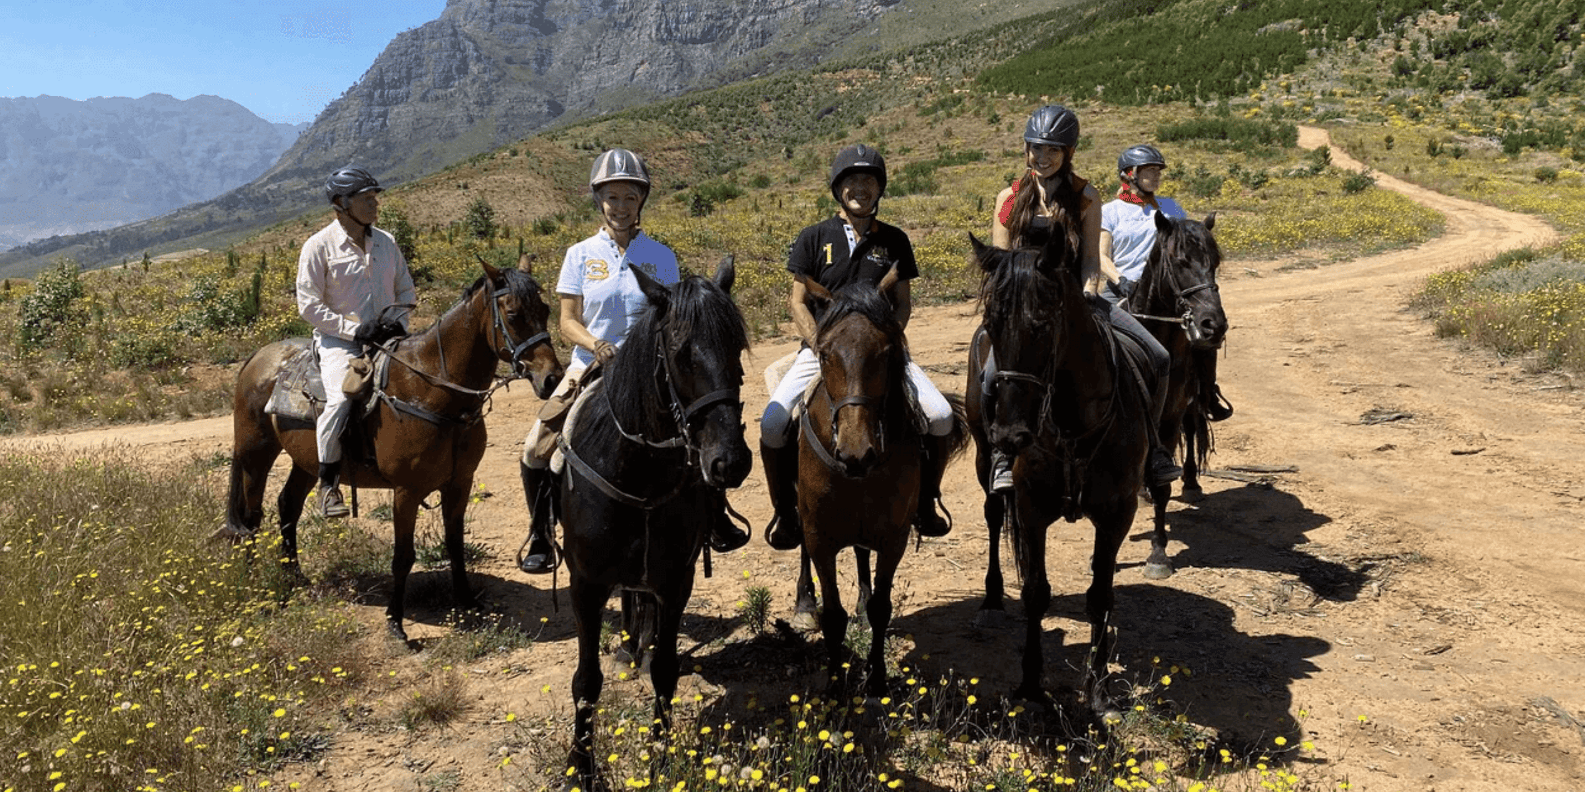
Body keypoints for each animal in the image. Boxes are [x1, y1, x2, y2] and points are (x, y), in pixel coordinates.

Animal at [220, 259, 567, 643]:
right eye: (514, 314)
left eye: (545, 309)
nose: (552, 378)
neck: (430, 390)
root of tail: (258, 357)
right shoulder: (406, 491)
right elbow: (403, 556)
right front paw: (395, 622)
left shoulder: (459, 483)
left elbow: (455, 544)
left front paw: (466, 603)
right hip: (255, 455)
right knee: (252, 519)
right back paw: (258, 587)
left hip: (306, 462)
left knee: (288, 507)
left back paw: (295, 576)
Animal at [557, 256, 754, 788]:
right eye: (682, 354)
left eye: (738, 349)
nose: (730, 462)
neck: (637, 471)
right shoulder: (585, 584)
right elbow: (586, 681)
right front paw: (581, 767)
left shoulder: (674, 580)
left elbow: (666, 669)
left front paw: (661, 758)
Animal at [792, 277, 963, 693]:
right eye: (824, 354)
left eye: (886, 354)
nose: (858, 452)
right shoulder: (820, 539)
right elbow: (832, 615)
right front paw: (835, 688)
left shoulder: (893, 537)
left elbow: (881, 607)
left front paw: (878, 680)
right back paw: (804, 606)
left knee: (860, 554)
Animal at [963, 231, 1153, 719]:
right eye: (992, 322)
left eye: (1043, 324)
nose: (1010, 434)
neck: (1071, 426)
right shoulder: (1031, 510)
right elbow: (1035, 592)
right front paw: (1031, 685)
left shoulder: (1116, 515)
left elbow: (1100, 595)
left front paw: (1099, 690)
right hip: (983, 459)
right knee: (993, 516)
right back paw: (991, 599)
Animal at [1128, 213, 1223, 579]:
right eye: (1181, 261)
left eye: (1216, 262)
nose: (1214, 325)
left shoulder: (1170, 416)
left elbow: (1164, 487)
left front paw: (1158, 554)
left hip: (1192, 403)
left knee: (1193, 429)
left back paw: (1192, 482)